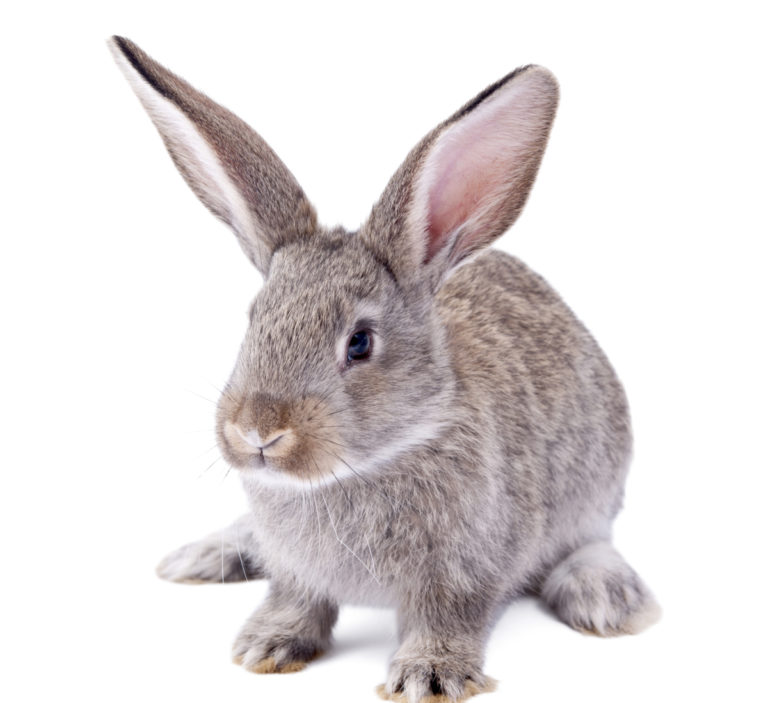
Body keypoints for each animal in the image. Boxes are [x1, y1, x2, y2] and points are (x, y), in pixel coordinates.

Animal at [109, 36, 660, 703]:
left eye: (360, 343)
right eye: (252, 319)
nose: (257, 431)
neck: (363, 466)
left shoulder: (466, 573)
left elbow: (448, 618)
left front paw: (430, 675)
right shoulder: (297, 573)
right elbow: (295, 600)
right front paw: (267, 645)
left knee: (592, 541)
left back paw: (605, 597)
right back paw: (201, 556)